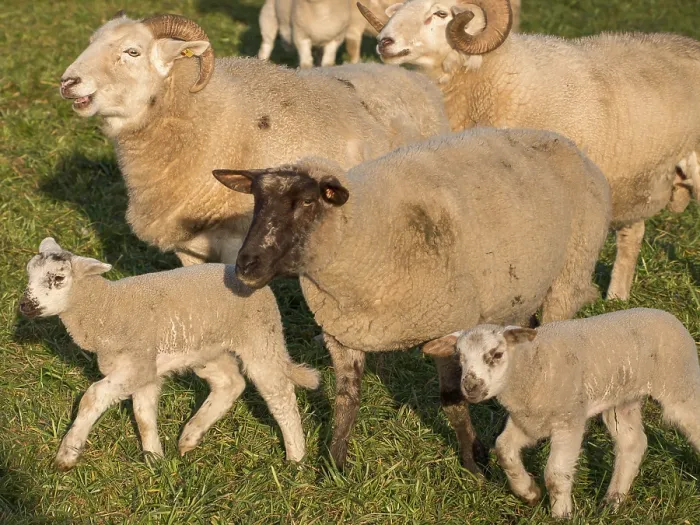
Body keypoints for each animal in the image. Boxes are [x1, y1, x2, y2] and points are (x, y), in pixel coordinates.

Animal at [18, 237, 319, 471]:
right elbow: (143, 414)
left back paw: (296, 460)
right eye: (29, 275)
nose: (25, 306)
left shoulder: (137, 364)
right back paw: (189, 437)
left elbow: (93, 397)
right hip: (206, 350)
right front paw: (155, 459)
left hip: (260, 337)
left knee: (280, 395)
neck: (106, 308)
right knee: (230, 383)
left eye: (58, 278)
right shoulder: (145, 369)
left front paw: (67, 455)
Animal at [60, 13, 449, 267]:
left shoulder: (238, 242)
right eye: (91, 43)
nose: (67, 82)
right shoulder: (189, 250)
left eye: (132, 52)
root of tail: (416, 80)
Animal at [211, 127, 612, 471]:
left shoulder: (448, 327)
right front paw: (335, 466)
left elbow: (452, 402)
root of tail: (564, 141)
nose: (246, 265)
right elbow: (346, 400)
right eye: (257, 201)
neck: (365, 232)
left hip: (569, 274)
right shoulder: (342, 334)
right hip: (525, 289)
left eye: (308, 201)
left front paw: (474, 464)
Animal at [357, 0, 700, 301]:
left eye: (440, 13)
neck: (500, 76)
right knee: (633, 234)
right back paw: (617, 297)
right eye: (399, 9)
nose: (384, 42)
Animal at [423, 309, 700, 518]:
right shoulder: (528, 421)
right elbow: (503, 450)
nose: (471, 387)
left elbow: (555, 474)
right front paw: (529, 492)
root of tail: (668, 315)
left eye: (497, 354)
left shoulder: (569, 419)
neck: (530, 366)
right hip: (622, 399)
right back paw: (611, 502)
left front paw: (561, 514)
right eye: (459, 358)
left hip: (678, 384)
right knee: (632, 443)